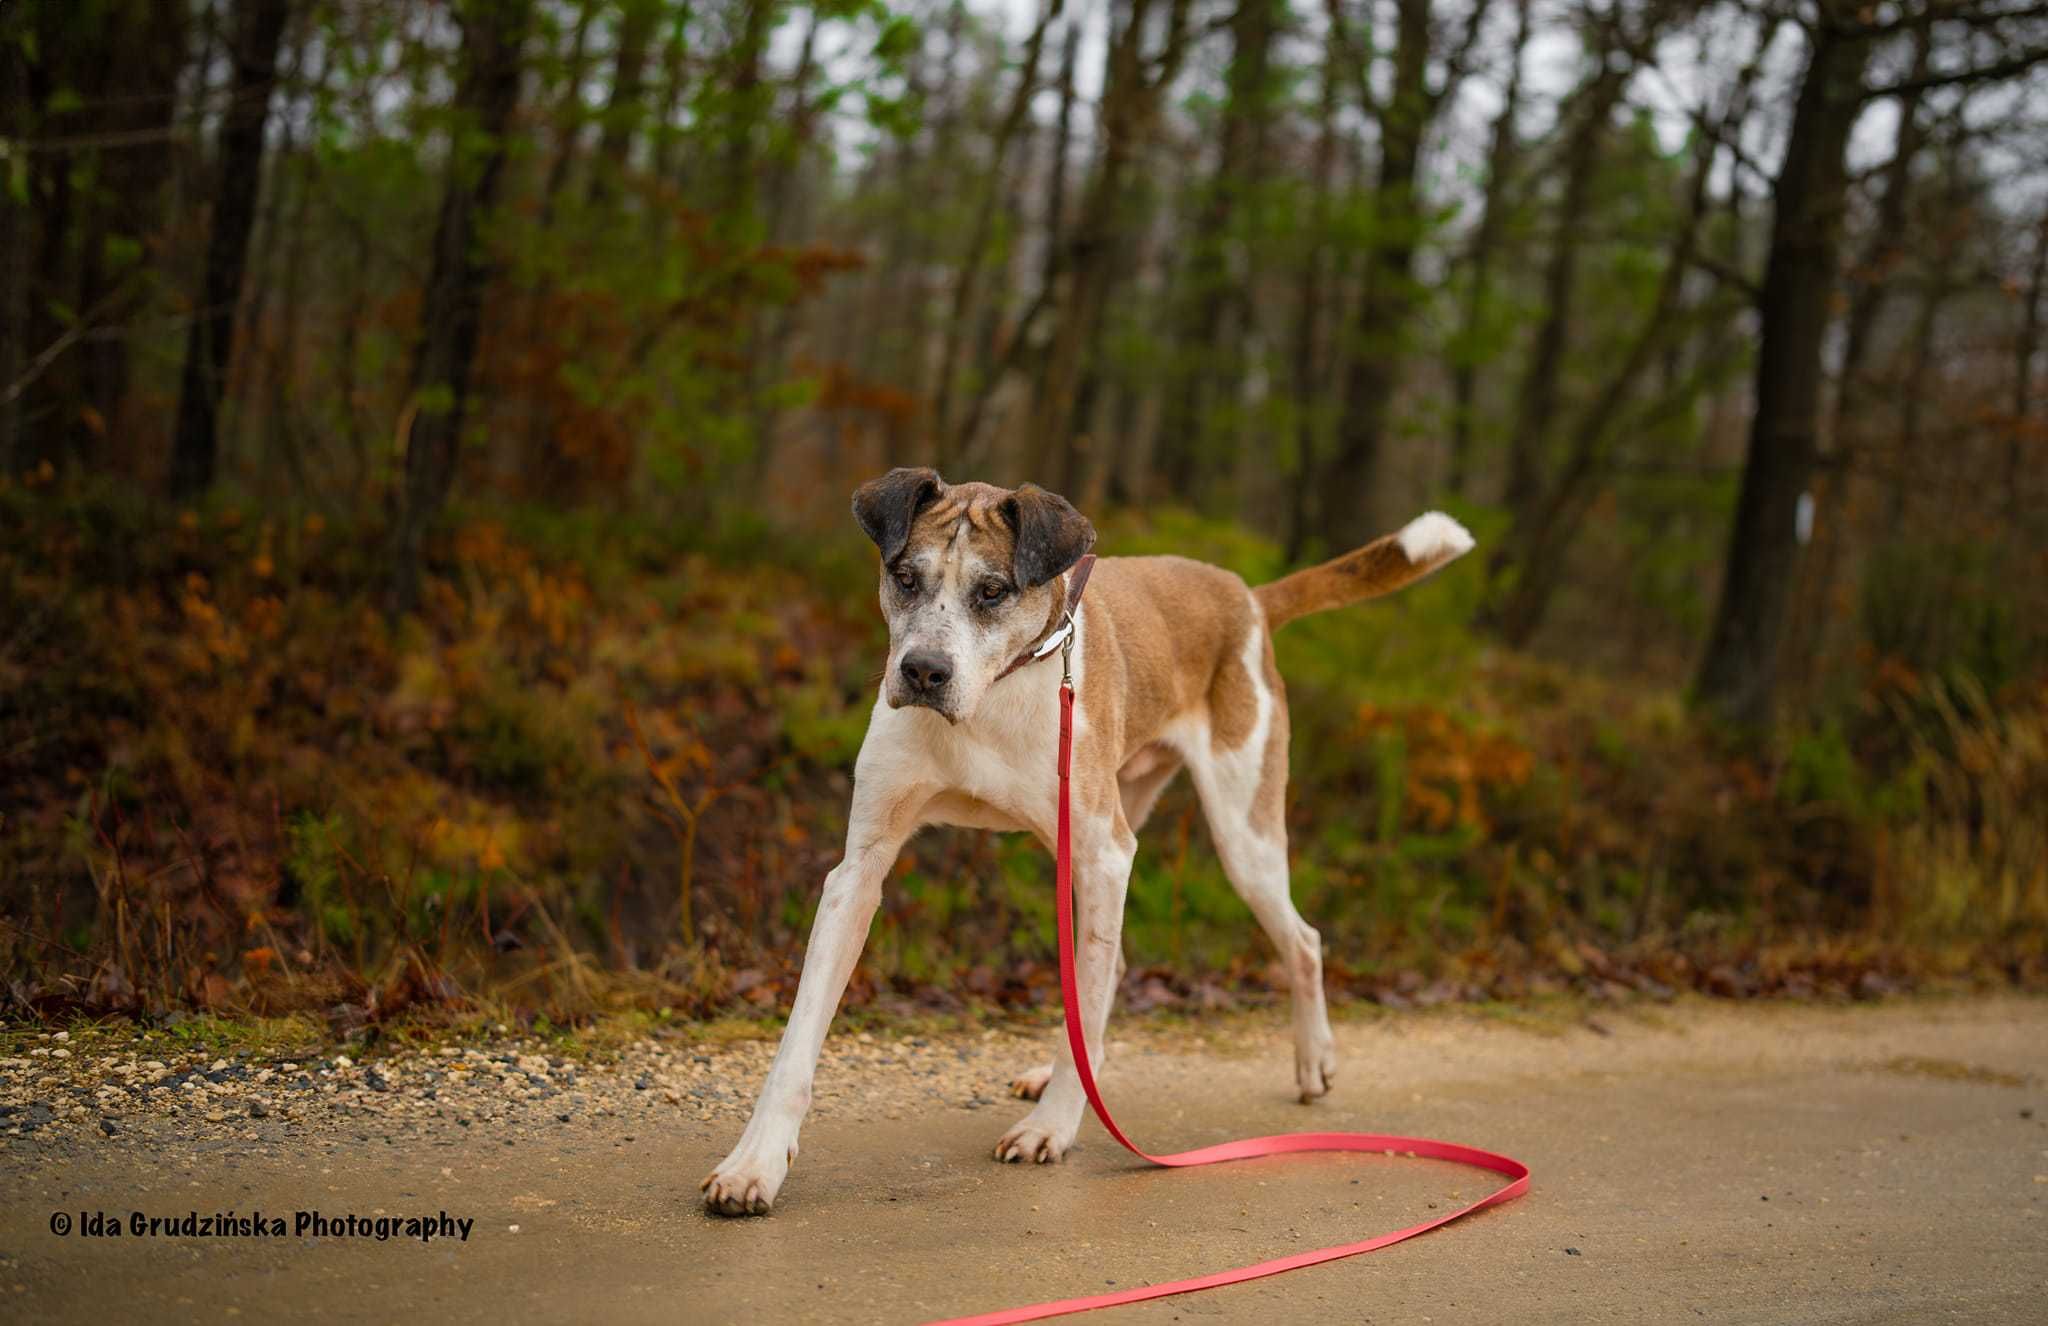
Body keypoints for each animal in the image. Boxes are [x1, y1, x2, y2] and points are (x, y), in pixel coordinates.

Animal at [704, 471, 1474, 1221]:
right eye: (905, 576)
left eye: (993, 590)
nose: (923, 671)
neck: (993, 701)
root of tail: (1247, 599)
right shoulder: (859, 872)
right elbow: (798, 1040)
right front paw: (754, 1165)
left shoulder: (1106, 850)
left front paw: (1053, 1126)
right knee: (1108, 972)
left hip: (1238, 834)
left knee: (1300, 941)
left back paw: (1312, 1061)